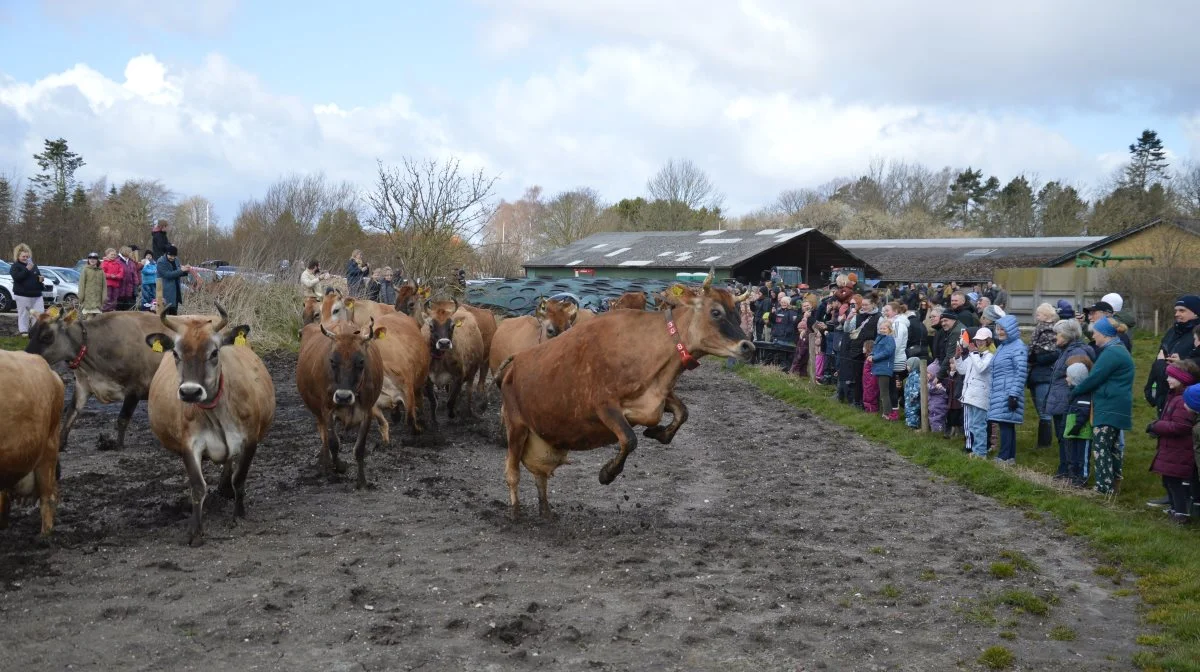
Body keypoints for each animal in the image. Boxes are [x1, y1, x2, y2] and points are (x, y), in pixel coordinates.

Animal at [27, 309, 171, 451]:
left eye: (47, 336)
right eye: (30, 333)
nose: (27, 357)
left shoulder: (136, 387)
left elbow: (122, 418)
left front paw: (118, 445)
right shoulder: (82, 384)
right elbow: (71, 412)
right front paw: (61, 443)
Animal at [145, 304, 276, 547]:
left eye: (214, 352)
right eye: (175, 353)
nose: (190, 392)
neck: (216, 412)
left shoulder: (250, 438)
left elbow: (240, 478)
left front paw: (239, 515)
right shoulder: (189, 444)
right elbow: (198, 486)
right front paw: (195, 531)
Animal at [296, 316, 384, 484]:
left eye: (361, 361)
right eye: (332, 361)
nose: (343, 396)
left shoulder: (367, 412)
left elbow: (360, 449)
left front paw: (362, 482)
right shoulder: (327, 410)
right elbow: (333, 443)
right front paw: (340, 466)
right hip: (318, 412)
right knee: (324, 435)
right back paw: (325, 465)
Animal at [501, 276, 753, 516]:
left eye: (737, 312)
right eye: (716, 312)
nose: (748, 346)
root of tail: (515, 362)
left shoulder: (654, 397)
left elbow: (683, 412)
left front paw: (658, 433)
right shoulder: (604, 405)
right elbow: (630, 440)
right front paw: (607, 473)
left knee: (540, 476)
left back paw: (546, 512)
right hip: (516, 427)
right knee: (512, 473)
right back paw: (515, 513)